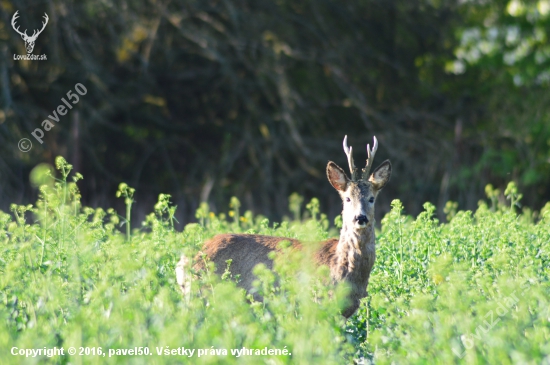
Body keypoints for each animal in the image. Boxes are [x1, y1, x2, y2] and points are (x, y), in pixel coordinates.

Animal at [177, 135, 392, 318]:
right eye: (347, 198)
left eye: (371, 198)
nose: (360, 218)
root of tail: (182, 260)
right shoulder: (316, 302)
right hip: (201, 294)